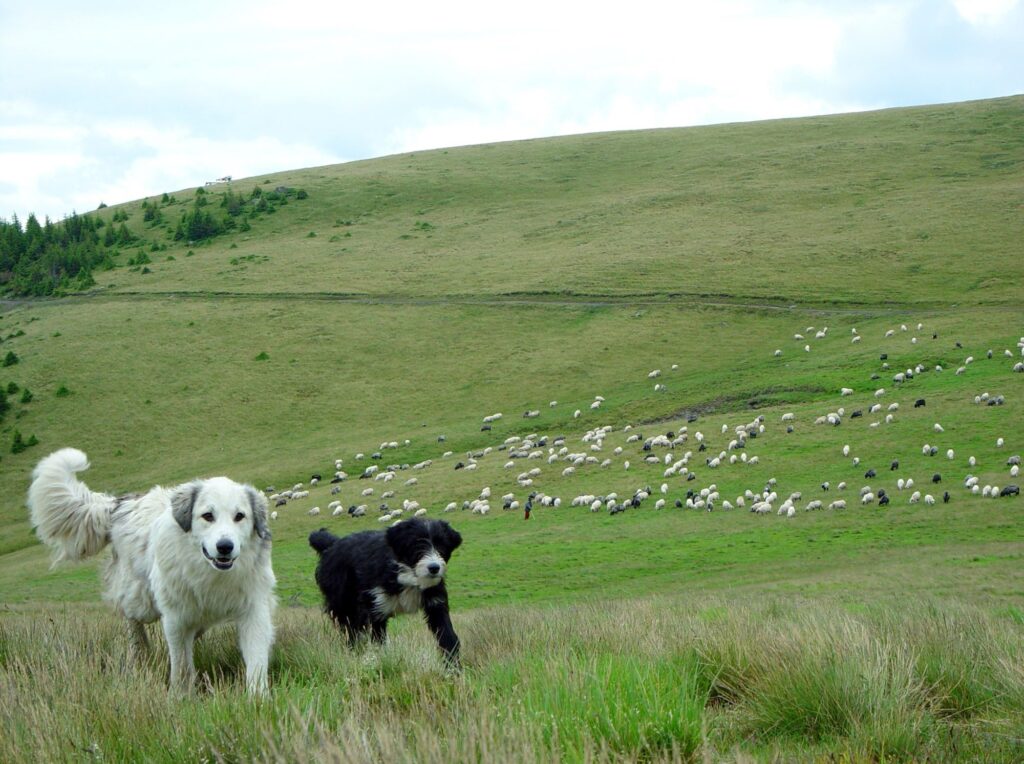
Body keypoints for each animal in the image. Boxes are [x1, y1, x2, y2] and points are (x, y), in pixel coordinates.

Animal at [28, 448, 276, 692]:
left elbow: (256, 660)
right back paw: (140, 651)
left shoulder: (253, 611)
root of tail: (119, 505)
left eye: (239, 516)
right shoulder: (176, 618)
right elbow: (181, 663)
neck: (211, 573)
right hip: (141, 600)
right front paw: (180, 694)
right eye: (208, 516)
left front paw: (257, 696)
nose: (225, 546)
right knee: (131, 619)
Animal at [305, 518, 462, 659]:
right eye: (417, 544)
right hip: (344, 606)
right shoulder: (376, 608)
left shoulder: (436, 604)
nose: (434, 568)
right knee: (352, 633)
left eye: (442, 545)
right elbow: (377, 642)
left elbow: (448, 637)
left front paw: (453, 669)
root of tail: (333, 544)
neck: (407, 575)